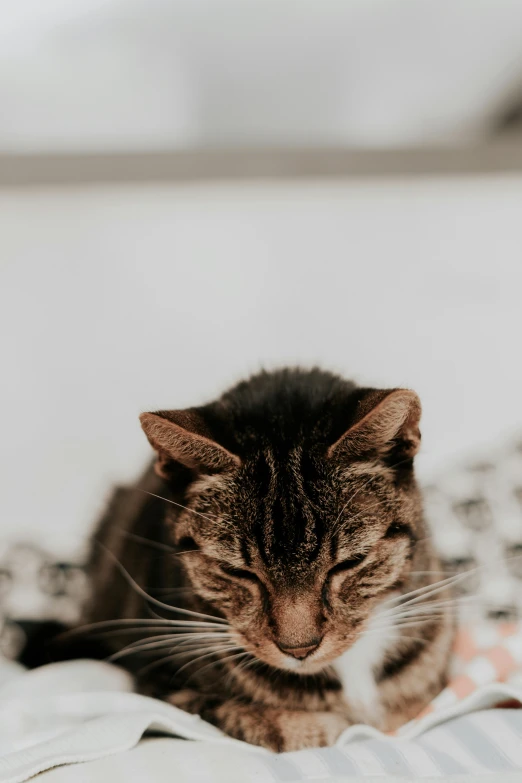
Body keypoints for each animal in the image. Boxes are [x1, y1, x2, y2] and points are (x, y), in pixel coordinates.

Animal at [83, 370, 452, 752]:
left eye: (350, 563)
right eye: (236, 571)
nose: (300, 649)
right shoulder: (162, 683)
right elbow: (269, 721)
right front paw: (324, 725)